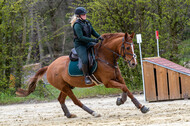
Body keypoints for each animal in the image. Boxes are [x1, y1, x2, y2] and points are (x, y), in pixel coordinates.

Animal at [16, 32, 149, 118]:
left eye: (133, 46)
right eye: (127, 47)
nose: (133, 63)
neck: (106, 57)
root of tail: (49, 67)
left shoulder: (118, 78)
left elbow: (126, 89)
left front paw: (123, 101)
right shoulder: (108, 82)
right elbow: (124, 88)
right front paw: (140, 106)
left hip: (66, 86)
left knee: (61, 99)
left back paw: (69, 115)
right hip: (64, 87)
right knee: (76, 101)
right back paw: (93, 112)